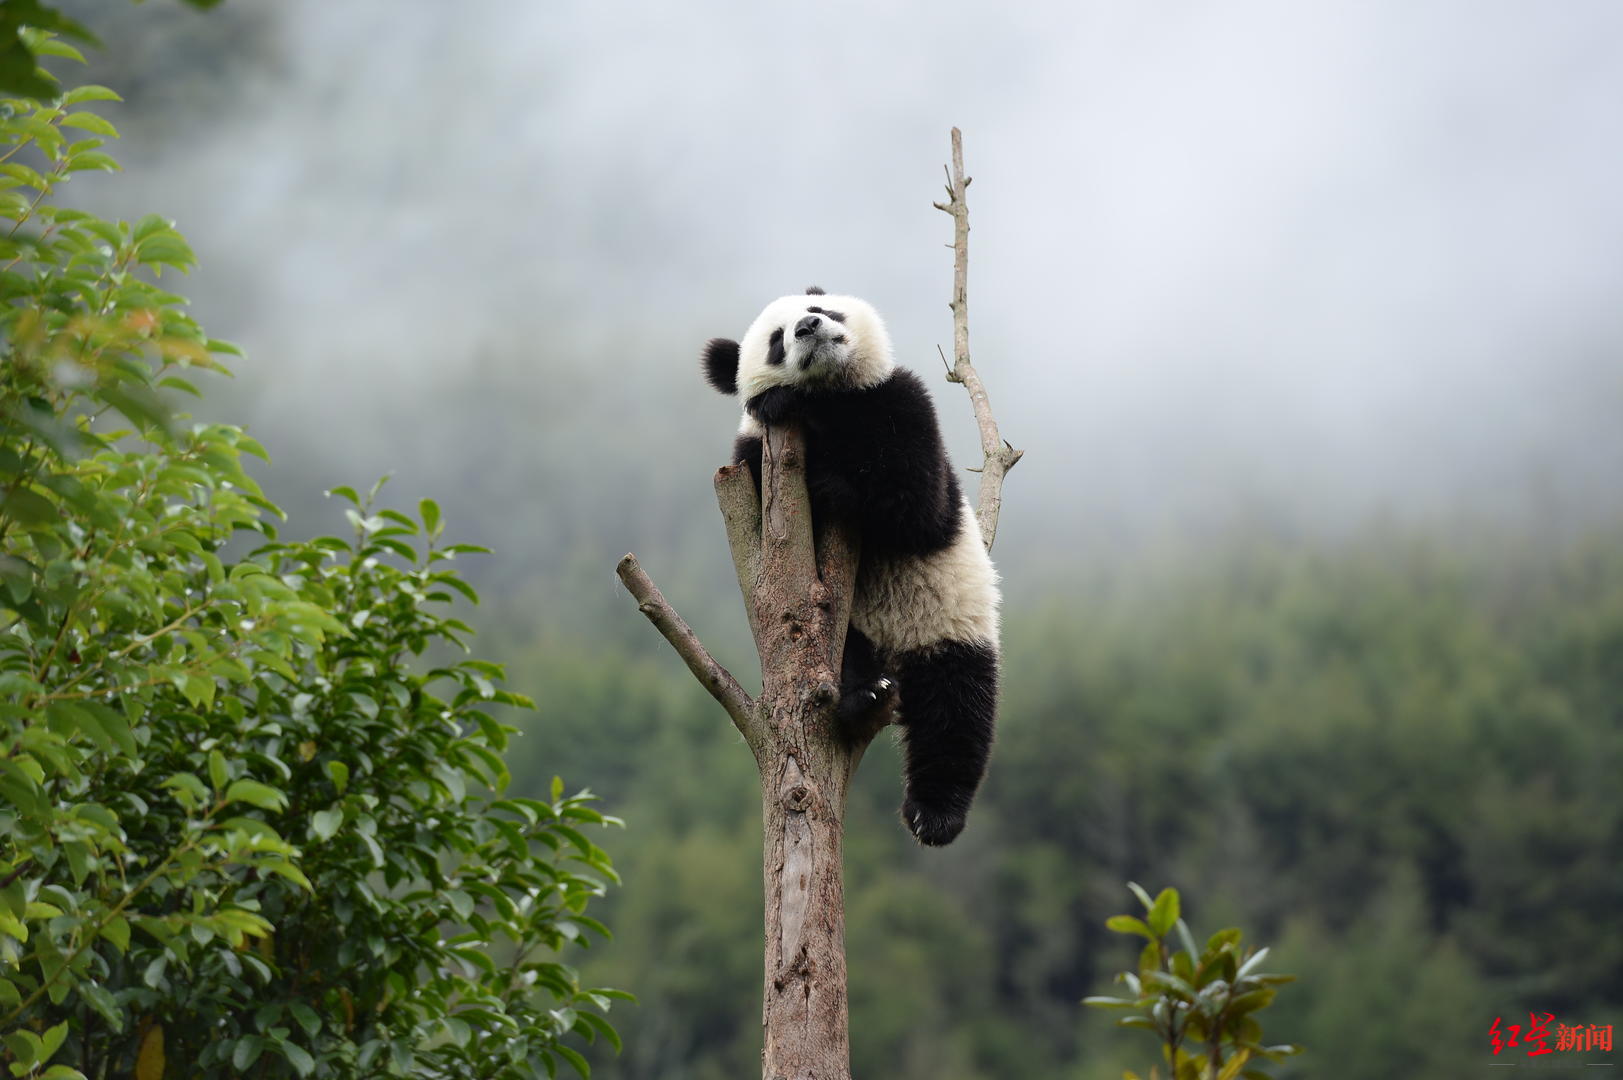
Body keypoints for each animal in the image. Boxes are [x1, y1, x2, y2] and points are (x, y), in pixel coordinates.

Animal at [701, 285, 999, 844]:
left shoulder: (902, 403)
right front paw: (779, 401)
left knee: (957, 710)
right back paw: (864, 694)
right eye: (776, 340)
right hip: (853, 631)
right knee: (852, 663)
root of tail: (894, 653)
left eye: (822, 310)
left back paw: (935, 815)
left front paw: (832, 479)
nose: (809, 328)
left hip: (947, 623)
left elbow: (914, 504)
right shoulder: (751, 458)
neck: (833, 391)